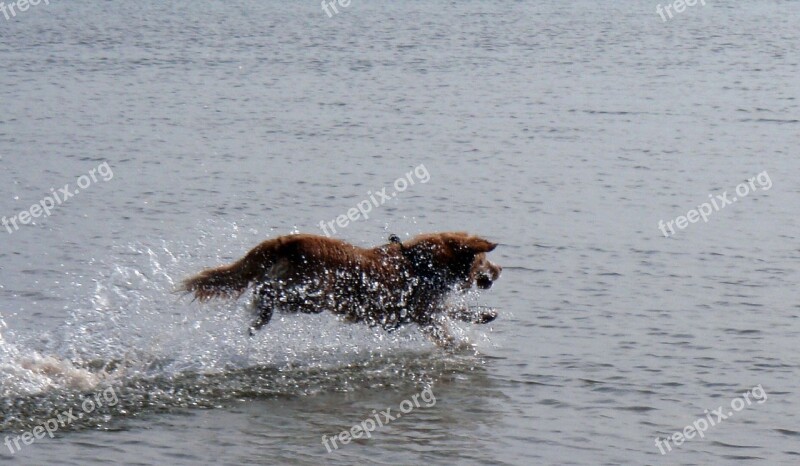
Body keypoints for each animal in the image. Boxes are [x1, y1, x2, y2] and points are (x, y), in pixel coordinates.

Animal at [181, 232, 500, 346]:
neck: (419, 264)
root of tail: (287, 241)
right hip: (311, 296)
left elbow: (455, 310)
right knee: (267, 295)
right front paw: (459, 344)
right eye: (483, 259)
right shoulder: (422, 313)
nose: (499, 271)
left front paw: (484, 315)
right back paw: (260, 315)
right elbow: (446, 324)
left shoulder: (424, 309)